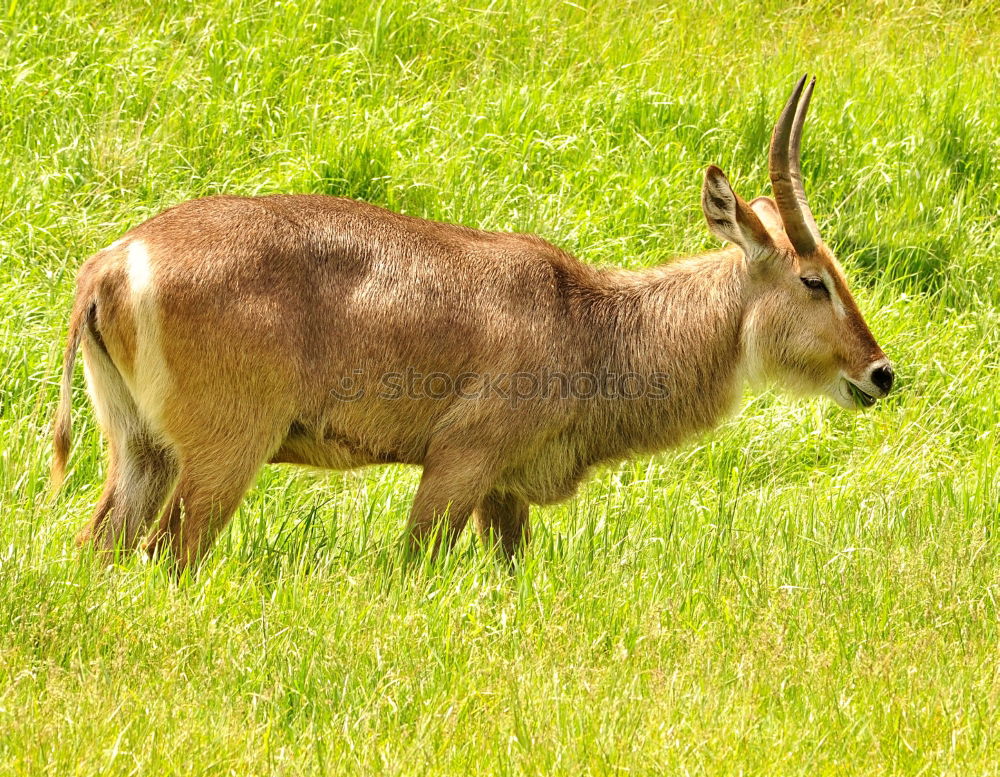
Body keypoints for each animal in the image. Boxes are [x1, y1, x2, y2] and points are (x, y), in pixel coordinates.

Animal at [50, 74, 892, 568]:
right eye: (815, 279)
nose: (881, 372)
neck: (589, 319)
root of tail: (113, 261)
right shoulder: (461, 462)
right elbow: (415, 564)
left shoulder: (506, 491)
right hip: (224, 456)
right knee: (167, 553)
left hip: (141, 451)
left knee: (102, 545)